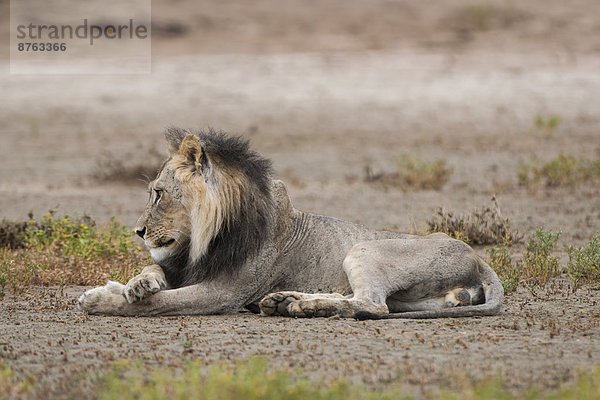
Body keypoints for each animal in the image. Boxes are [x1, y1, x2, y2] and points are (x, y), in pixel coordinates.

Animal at [78, 128, 502, 318]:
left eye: (158, 193)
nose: (138, 231)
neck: (203, 238)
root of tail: (479, 258)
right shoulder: (185, 266)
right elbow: (154, 274)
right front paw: (135, 283)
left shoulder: (224, 293)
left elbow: (159, 304)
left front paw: (98, 299)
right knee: (369, 301)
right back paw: (286, 301)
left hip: (363, 248)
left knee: (372, 305)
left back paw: (303, 306)